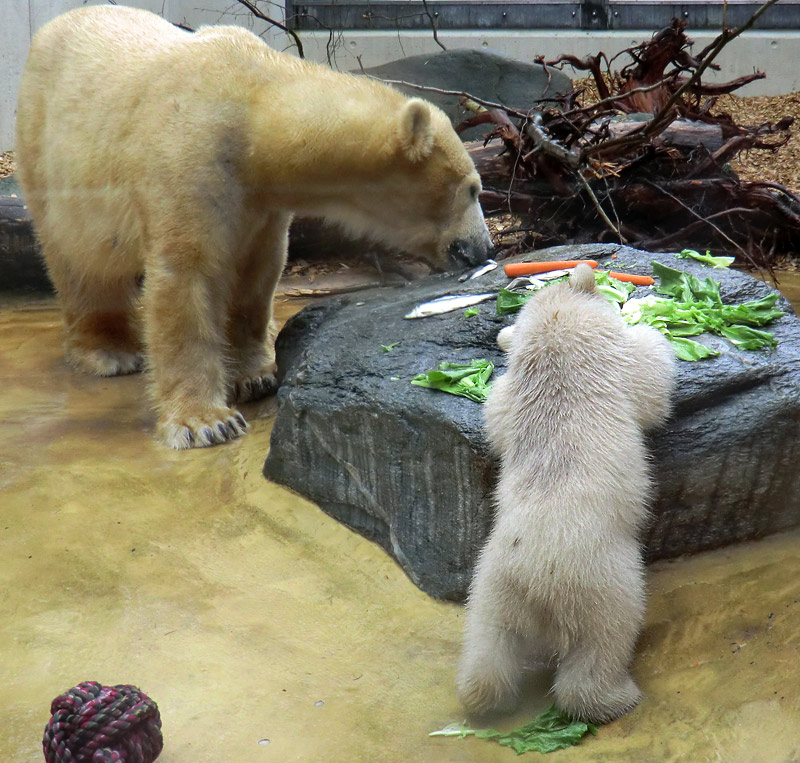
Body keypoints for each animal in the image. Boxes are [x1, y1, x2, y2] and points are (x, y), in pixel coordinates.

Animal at [17, 4, 494, 448]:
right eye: (473, 188)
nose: (483, 248)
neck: (251, 110)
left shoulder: (259, 201)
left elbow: (256, 273)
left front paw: (256, 375)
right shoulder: (188, 161)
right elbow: (185, 275)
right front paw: (205, 422)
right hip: (50, 157)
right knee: (81, 261)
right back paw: (109, 351)